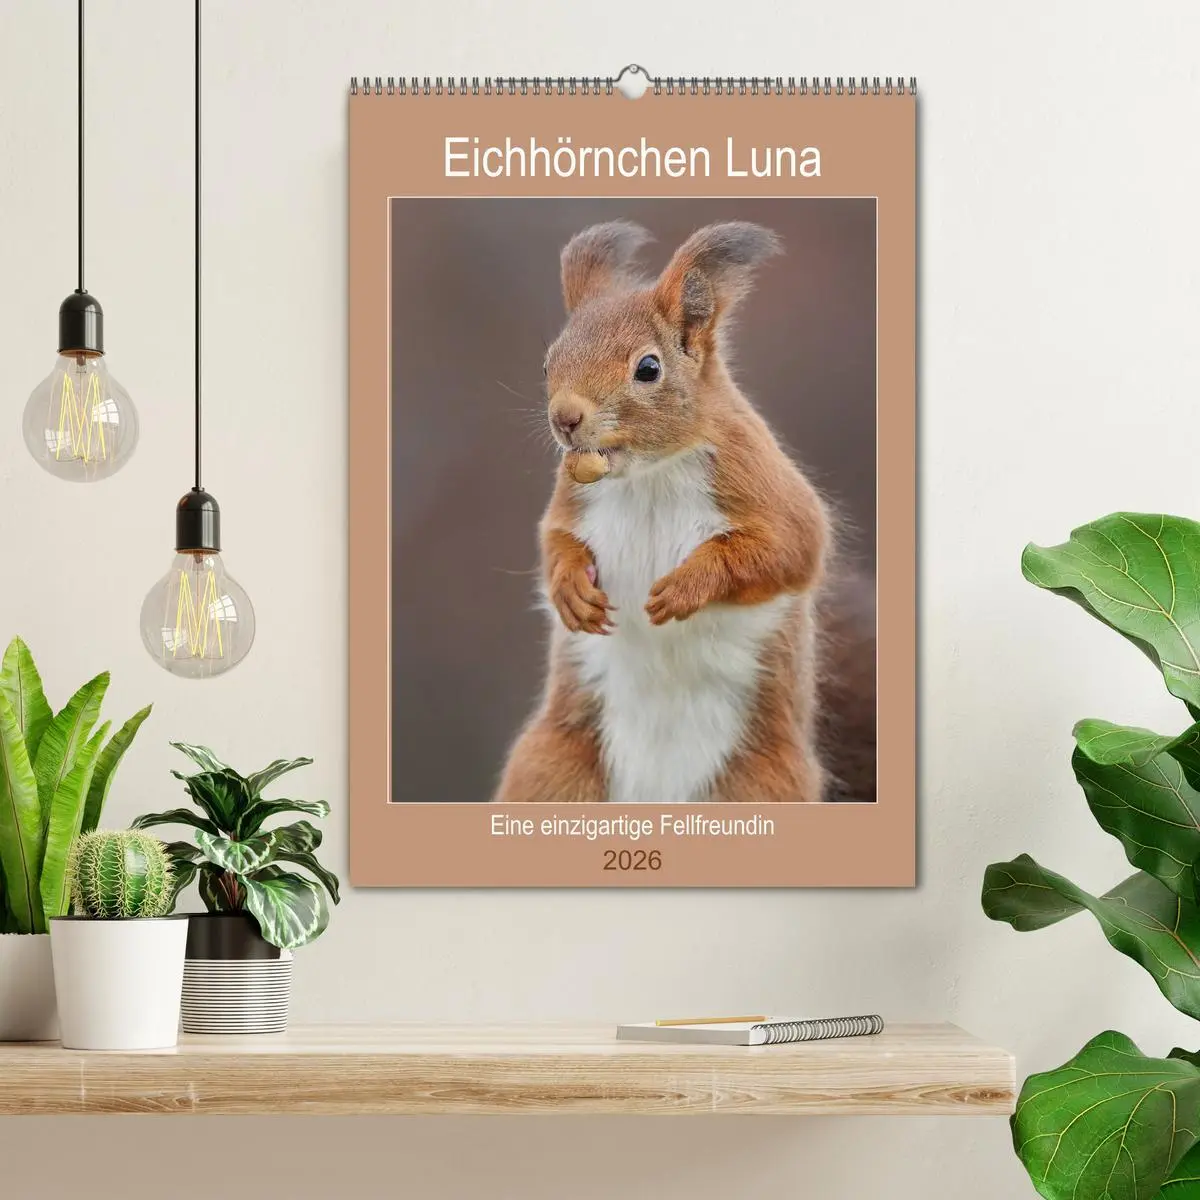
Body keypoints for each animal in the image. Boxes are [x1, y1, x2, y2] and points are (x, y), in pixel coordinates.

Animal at [495, 220, 875, 804]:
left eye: (648, 368)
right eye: (547, 362)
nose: (565, 419)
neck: (648, 475)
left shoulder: (762, 484)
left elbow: (790, 548)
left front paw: (686, 586)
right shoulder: (573, 496)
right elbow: (554, 539)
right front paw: (570, 590)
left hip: (759, 787)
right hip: (552, 773)